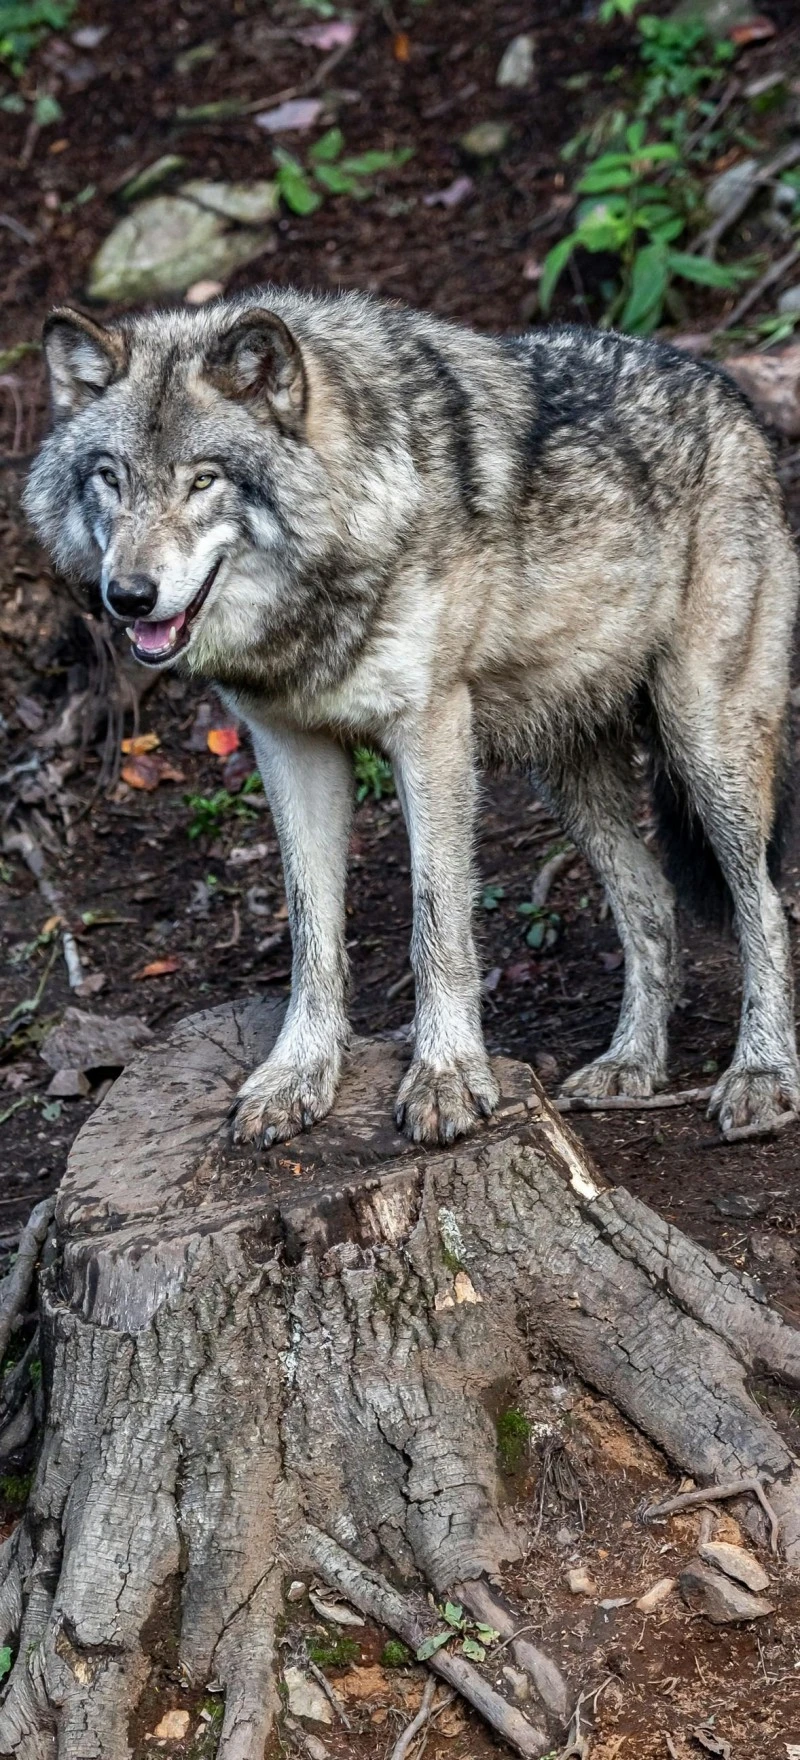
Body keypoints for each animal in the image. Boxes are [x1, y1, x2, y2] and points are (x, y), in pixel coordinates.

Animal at [25, 287, 800, 1148]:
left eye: (203, 481)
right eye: (109, 479)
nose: (127, 596)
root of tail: (725, 389)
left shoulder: (431, 732)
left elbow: (437, 923)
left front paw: (448, 1077)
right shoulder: (288, 746)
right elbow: (312, 931)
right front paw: (297, 1075)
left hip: (705, 739)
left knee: (764, 905)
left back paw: (762, 1074)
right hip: (566, 776)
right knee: (652, 902)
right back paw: (630, 1063)